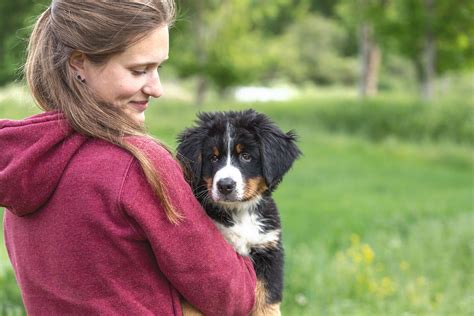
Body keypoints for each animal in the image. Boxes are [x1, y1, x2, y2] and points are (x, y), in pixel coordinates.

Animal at [176, 109, 302, 316]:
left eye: (245, 156)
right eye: (213, 157)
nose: (225, 185)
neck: (239, 212)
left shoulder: (269, 250)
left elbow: (266, 299)